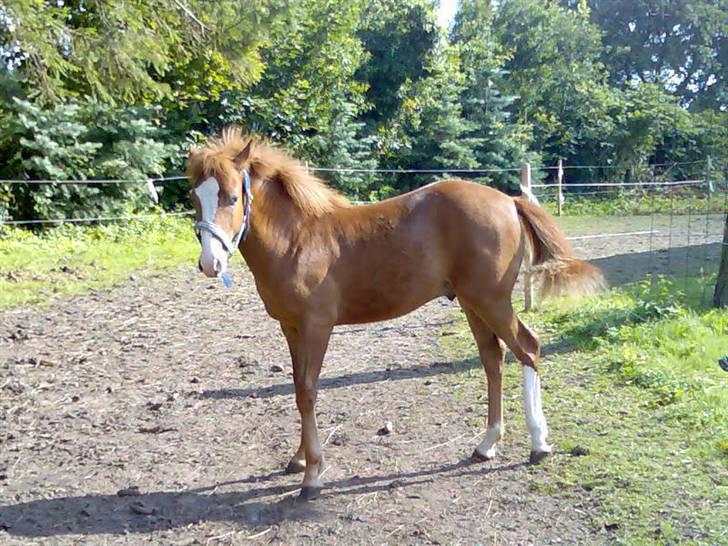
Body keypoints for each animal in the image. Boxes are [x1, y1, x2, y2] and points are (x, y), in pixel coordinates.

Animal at [186, 126, 604, 498]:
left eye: (230, 197)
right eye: (195, 197)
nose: (210, 263)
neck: (298, 240)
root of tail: (510, 201)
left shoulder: (317, 326)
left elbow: (308, 391)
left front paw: (312, 475)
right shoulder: (290, 328)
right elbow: (298, 388)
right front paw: (299, 459)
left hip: (492, 300)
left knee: (528, 348)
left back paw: (539, 444)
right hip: (472, 304)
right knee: (493, 359)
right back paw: (486, 445)